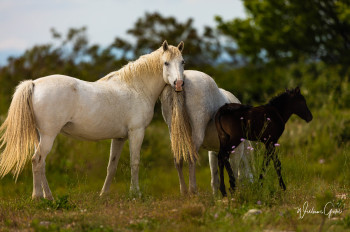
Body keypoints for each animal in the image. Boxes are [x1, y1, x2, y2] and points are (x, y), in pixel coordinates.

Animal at [0, 40, 187, 199]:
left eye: (182, 62)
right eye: (166, 63)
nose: (178, 84)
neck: (136, 88)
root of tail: (34, 84)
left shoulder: (119, 138)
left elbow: (111, 166)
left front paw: (104, 194)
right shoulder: (137, 132)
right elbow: (135, 162)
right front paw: (135, 193)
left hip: (40, 136)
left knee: (41, 163)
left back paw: (49, 197)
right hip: (48, 136)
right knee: (37, 161)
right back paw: (38, 197)